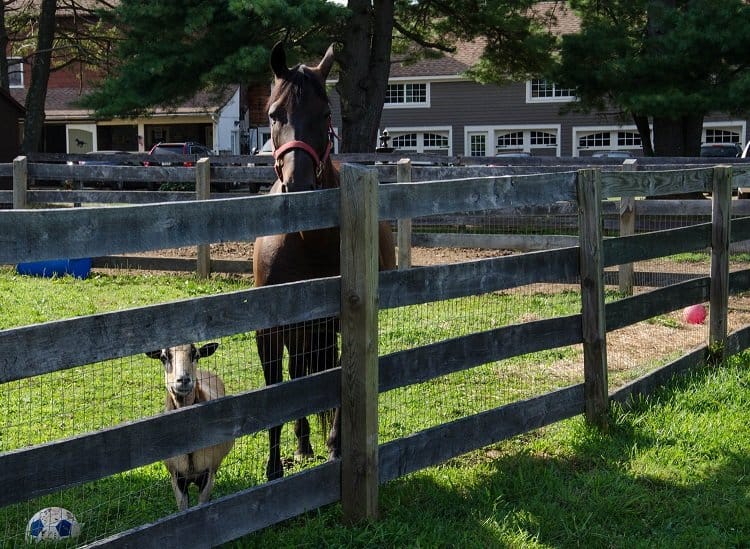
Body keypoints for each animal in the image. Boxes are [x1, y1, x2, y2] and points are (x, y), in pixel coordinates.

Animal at [254, 41, 400, 480]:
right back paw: (302, 445)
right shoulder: (270, 330)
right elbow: (277, 392)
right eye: (274, 114)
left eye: (324, 114)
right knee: (300, 373)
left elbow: (339, 379)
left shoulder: (340, 320)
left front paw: (337, 448)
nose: (298, 185)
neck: (309, 240)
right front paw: (273, 469)